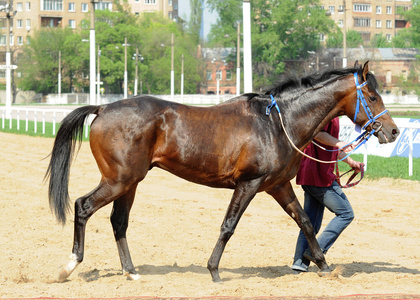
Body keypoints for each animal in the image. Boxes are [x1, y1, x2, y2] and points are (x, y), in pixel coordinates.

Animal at [46, 61, 400, 284]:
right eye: (372, 96)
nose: (394, 131)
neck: (277, 123)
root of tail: (103, 108)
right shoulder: (248, 184)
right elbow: (229, 225)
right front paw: (214, 270)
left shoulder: (278, 186)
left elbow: (306, 222)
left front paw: (324, 266)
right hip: (118, 180)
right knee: (83, 206)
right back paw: (68, 266)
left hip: (130, 183)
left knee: (119, 222)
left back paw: (131, 271)